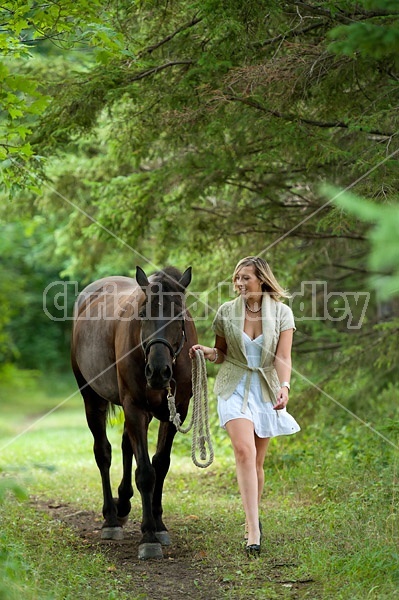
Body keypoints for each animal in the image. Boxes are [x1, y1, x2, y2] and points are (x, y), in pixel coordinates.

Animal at [72, 266, 198, 556]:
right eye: (142, 313)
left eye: (179, 315)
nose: (158, 371)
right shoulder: (135, 408)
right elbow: (146, 473)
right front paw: (149, 537)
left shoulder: (176, 410)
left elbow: (160, 464)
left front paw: (159, 525)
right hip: (91, 398)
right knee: (103, 453)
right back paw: (110, 518)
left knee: (125, 445)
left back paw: (123, 504)